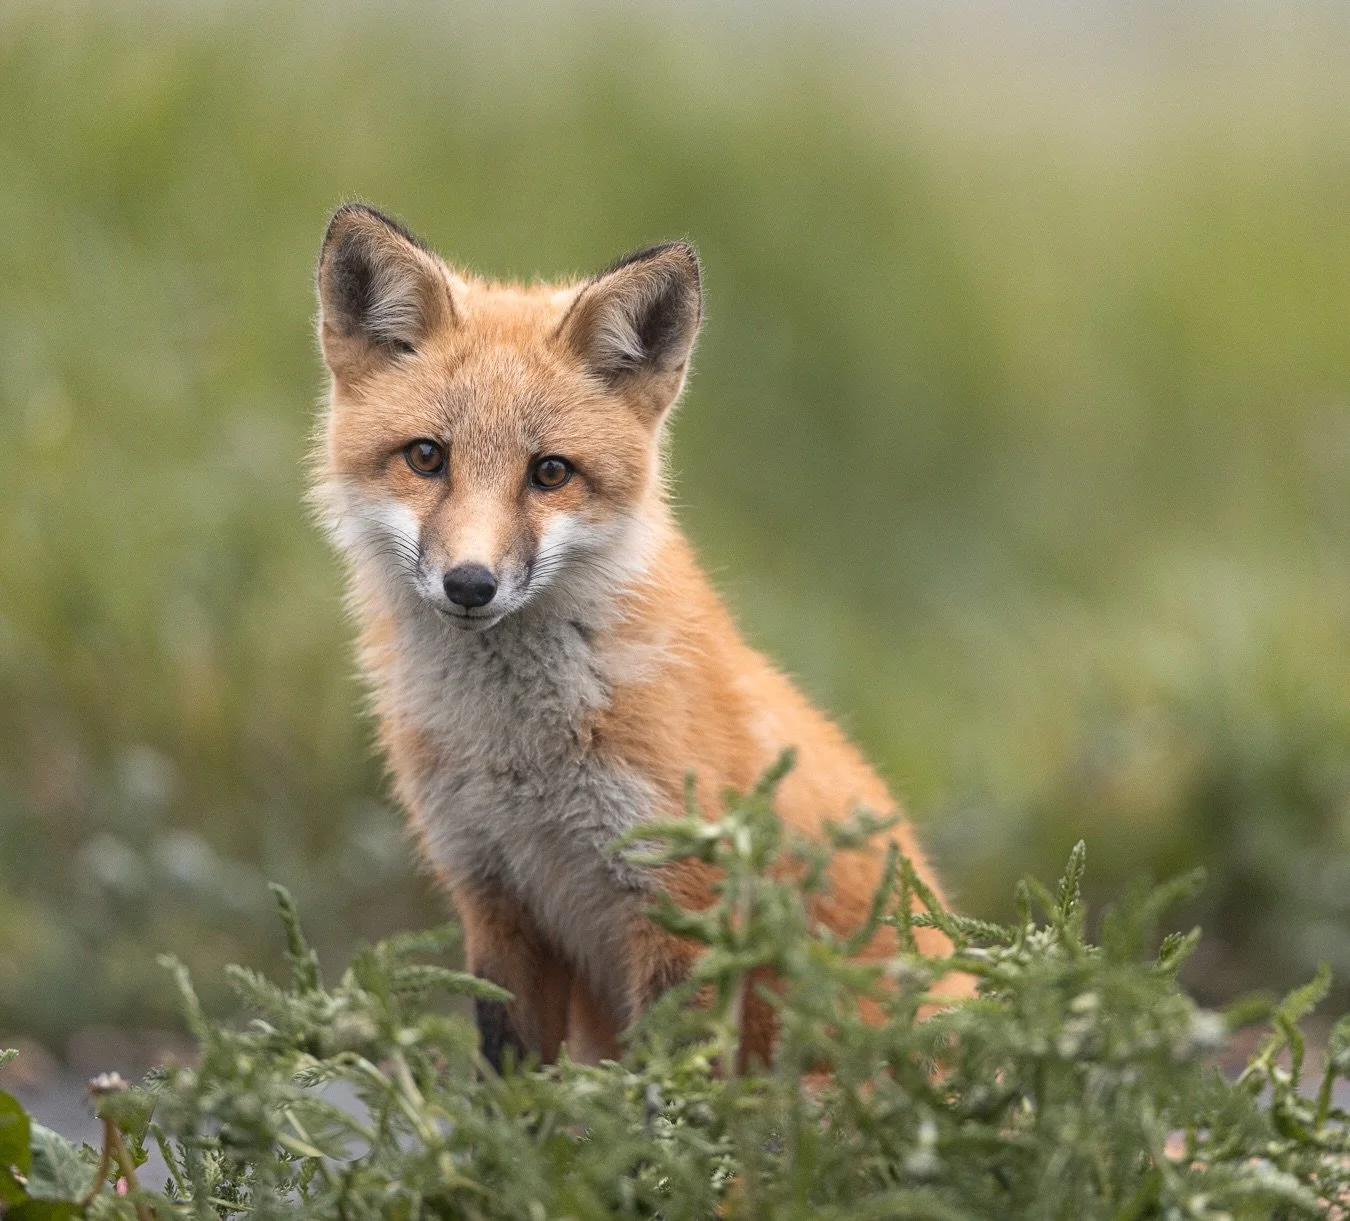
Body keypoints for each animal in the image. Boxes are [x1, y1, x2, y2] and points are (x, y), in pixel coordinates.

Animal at [313, 203, 963, 1071]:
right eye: (426, 457)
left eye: (550, 473)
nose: (471, 584)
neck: (516, 757)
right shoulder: (494, 899)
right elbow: (508, 1083)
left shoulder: (678, 904)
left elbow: (670, 1088)